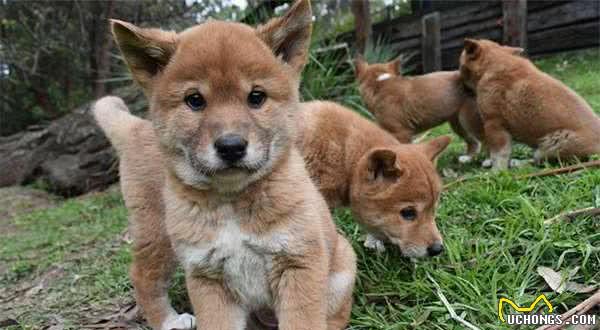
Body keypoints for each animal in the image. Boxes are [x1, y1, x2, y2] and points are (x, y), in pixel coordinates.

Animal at [94, 1, 356, 328]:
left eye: (256, 97)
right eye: (194, 100)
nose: (231, 146)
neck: (232, 203)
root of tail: (136, 128)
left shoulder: (298, 263)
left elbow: (303, 321)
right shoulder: (207, 277)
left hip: (343, 264)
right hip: (156, 233)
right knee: (142, 276)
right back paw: (169, 321)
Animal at [460, 38, 600, 170]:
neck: (493, 63)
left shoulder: (494, 124)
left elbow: (498, 154)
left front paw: (496, 172)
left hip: (552, 144)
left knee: (540, 162)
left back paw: (519, 163)